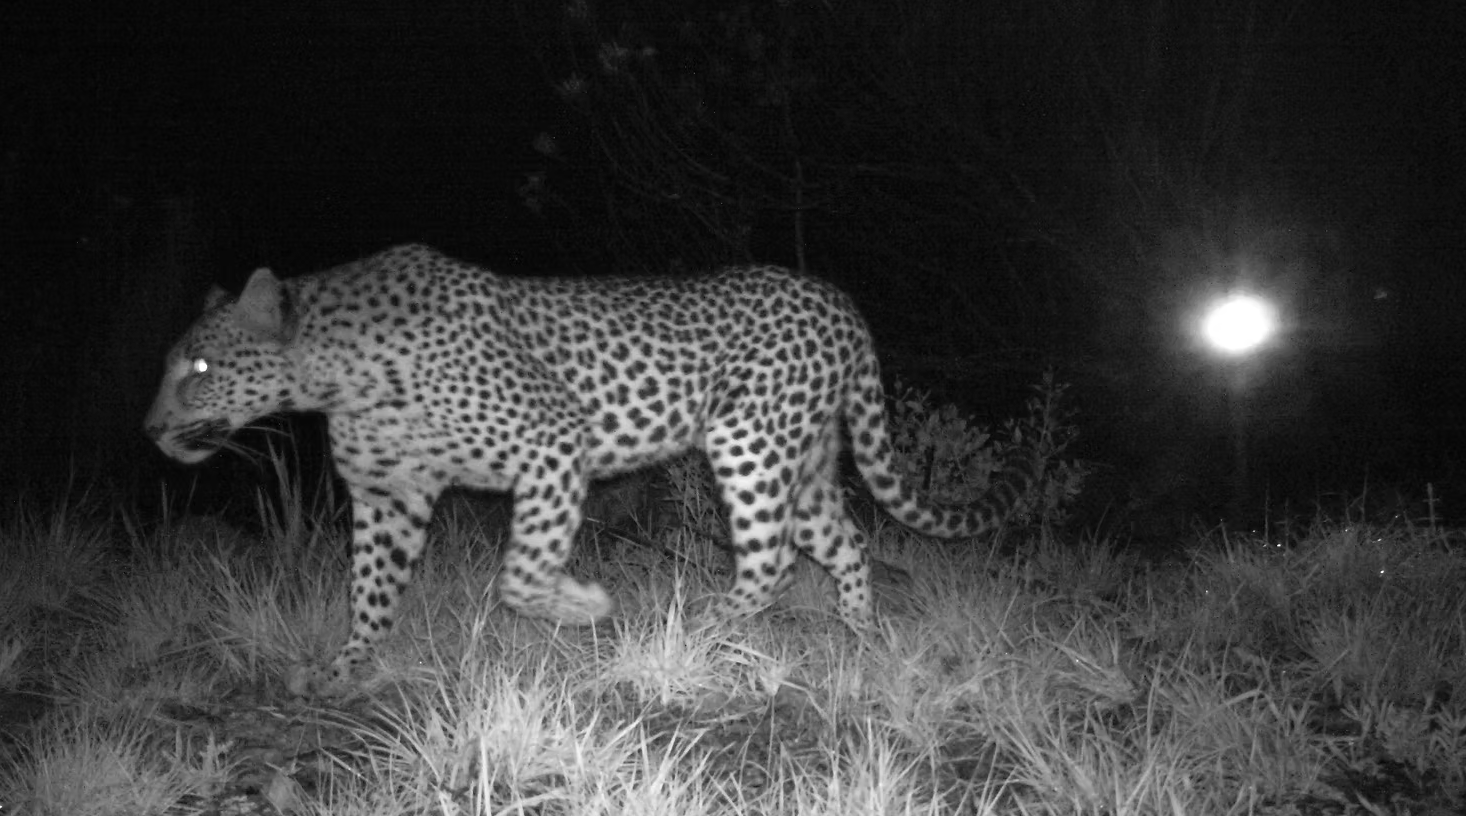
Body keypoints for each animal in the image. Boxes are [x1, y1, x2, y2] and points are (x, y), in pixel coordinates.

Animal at [145, 244, 1030, 694]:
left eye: (199, 367)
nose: (150, 430)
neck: (334, 373)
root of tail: (839, 301)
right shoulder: (389, 494)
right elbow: (370, 585)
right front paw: (349, 664)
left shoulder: (552, 442)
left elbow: (519, 573)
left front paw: (584, 607)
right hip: (803, 462)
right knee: (844, 541)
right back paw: (860, 634)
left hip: (747, 441)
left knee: (772, 557)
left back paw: (700, 624)